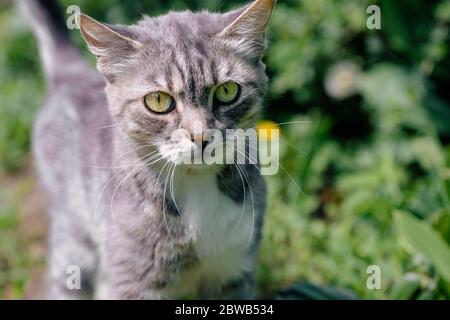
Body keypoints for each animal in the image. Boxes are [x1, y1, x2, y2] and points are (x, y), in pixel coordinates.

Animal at [19, 0, 274, 300]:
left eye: (227, 91)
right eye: (159, 100)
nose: (201, 136)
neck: (197, 186)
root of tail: (70, 73)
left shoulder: (233, 272)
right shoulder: (135, 281)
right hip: (73, 246)